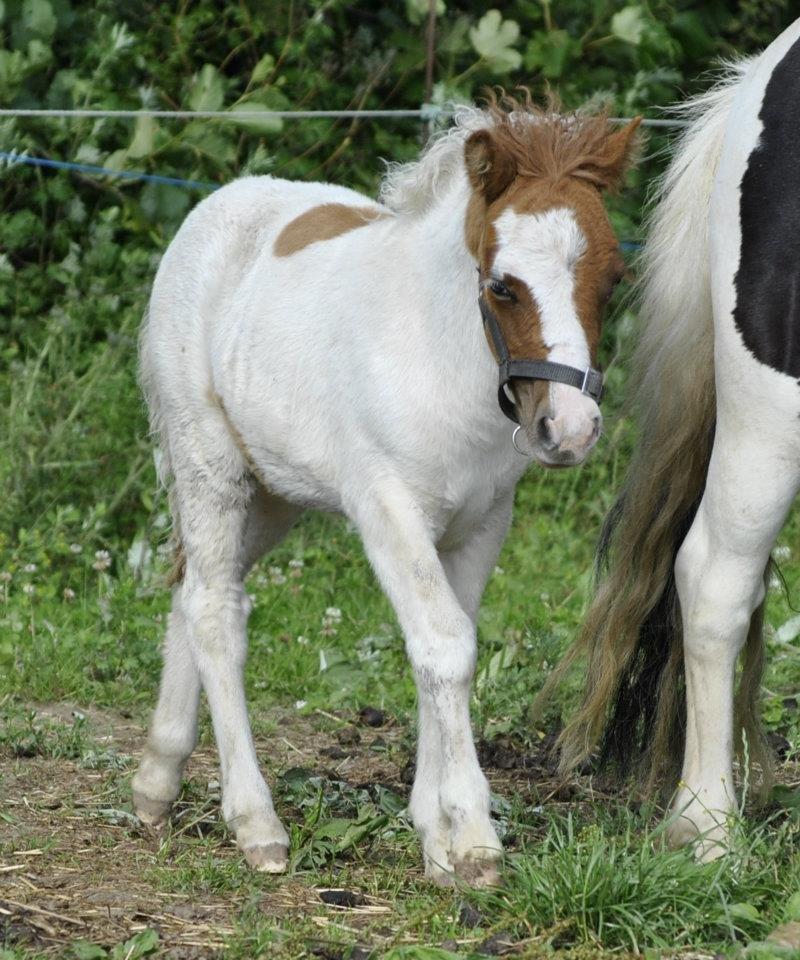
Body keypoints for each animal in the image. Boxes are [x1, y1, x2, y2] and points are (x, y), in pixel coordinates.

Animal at [133, 94, 644, 880]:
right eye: (502, 285)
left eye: (613, 278)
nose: (570, 428)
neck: (440, 355)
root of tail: (219, 203)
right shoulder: (388, 507)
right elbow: (445, 646)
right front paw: (472, 836)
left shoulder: (482, 522)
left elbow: (446, 646)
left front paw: (436, 836)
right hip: (208, 463)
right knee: (216, 609)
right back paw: (255, 822)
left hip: (273, 493)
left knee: (192, 590)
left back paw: (158, 780)